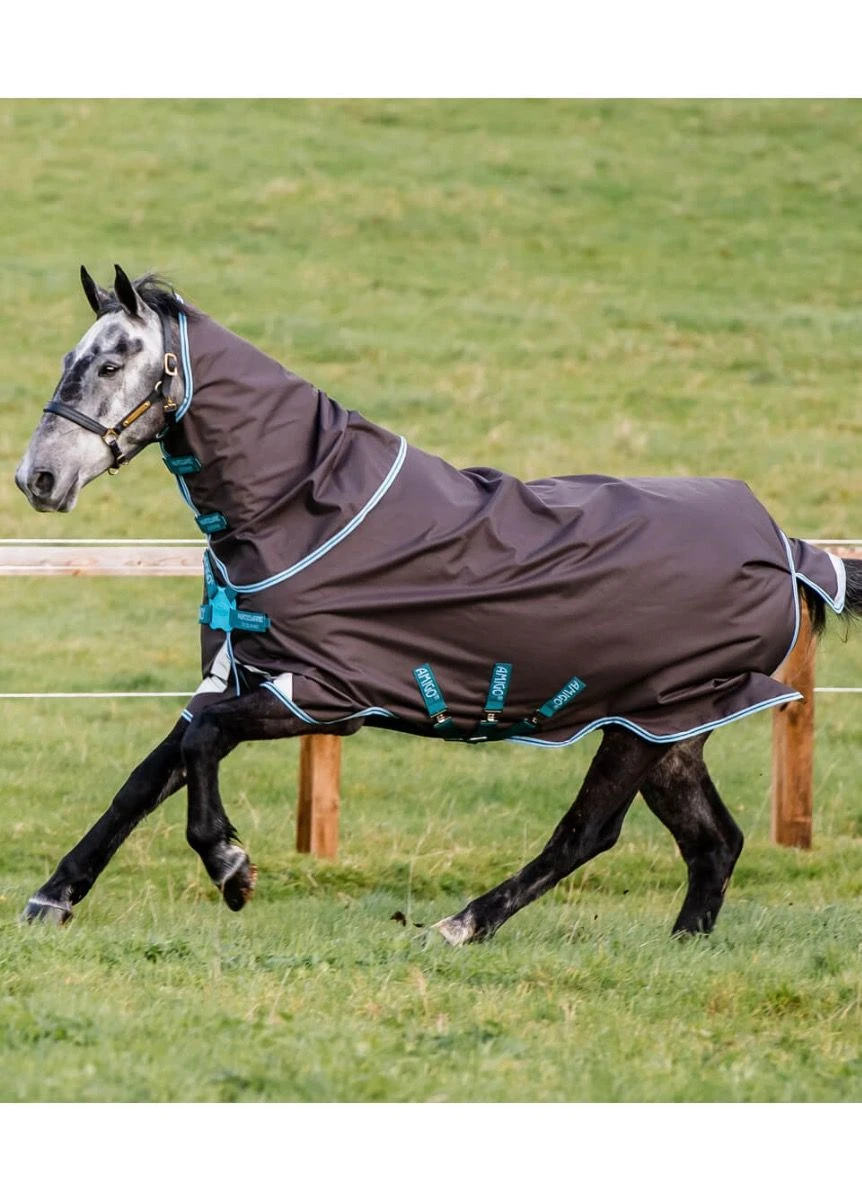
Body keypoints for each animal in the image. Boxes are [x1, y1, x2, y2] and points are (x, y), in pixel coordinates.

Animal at [15, 265, 862, 943]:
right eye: (68, 359)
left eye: (112, 361)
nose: (38, 479)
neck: (306, 506)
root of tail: (788, 548)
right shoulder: (240, 678)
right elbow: (146, 777)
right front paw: (52, 899)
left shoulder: (323, 697)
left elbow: (200, 747)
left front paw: (232, 866)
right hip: (675, 728)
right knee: (714, 842)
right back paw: (682, 942)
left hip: (647, 722)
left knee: (588, 832)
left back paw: (462, 925)